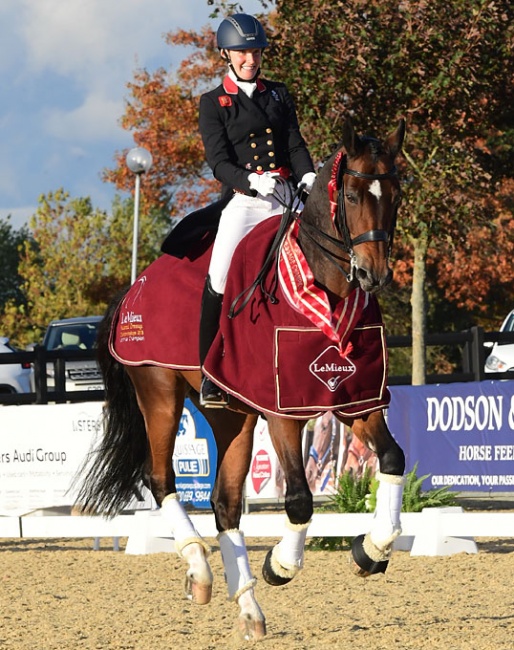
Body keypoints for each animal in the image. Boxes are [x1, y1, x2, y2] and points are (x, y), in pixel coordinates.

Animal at [76, 116, 404, 636]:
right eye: (351, 196)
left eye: (395, 194)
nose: (374, 275)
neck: (325, 294)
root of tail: (136, 286)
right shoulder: (284, 411)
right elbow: (299, 500)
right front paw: (280, 565)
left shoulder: (356, 399)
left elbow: (392, 459)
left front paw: (370, 549)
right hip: (160, 393)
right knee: (160, 479)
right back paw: (200, 571)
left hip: (233, 415)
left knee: (225, 504)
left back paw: (248, 608)